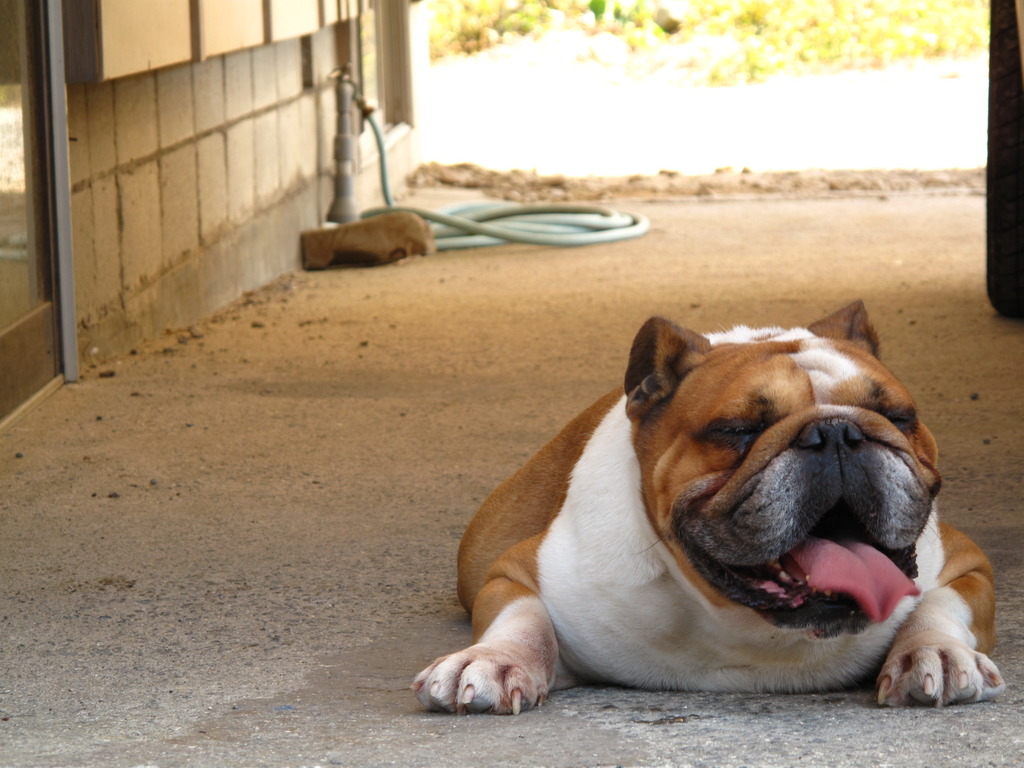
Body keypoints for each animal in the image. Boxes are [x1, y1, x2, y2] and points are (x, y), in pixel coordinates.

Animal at [411, 301, 1003, 716]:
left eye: (898, 417)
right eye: (737, 430)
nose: (838, 432)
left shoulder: (965, 563)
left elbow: (940, 604)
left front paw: (934, 652)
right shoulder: (517, 570)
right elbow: (521, 616)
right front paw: (496, 660)